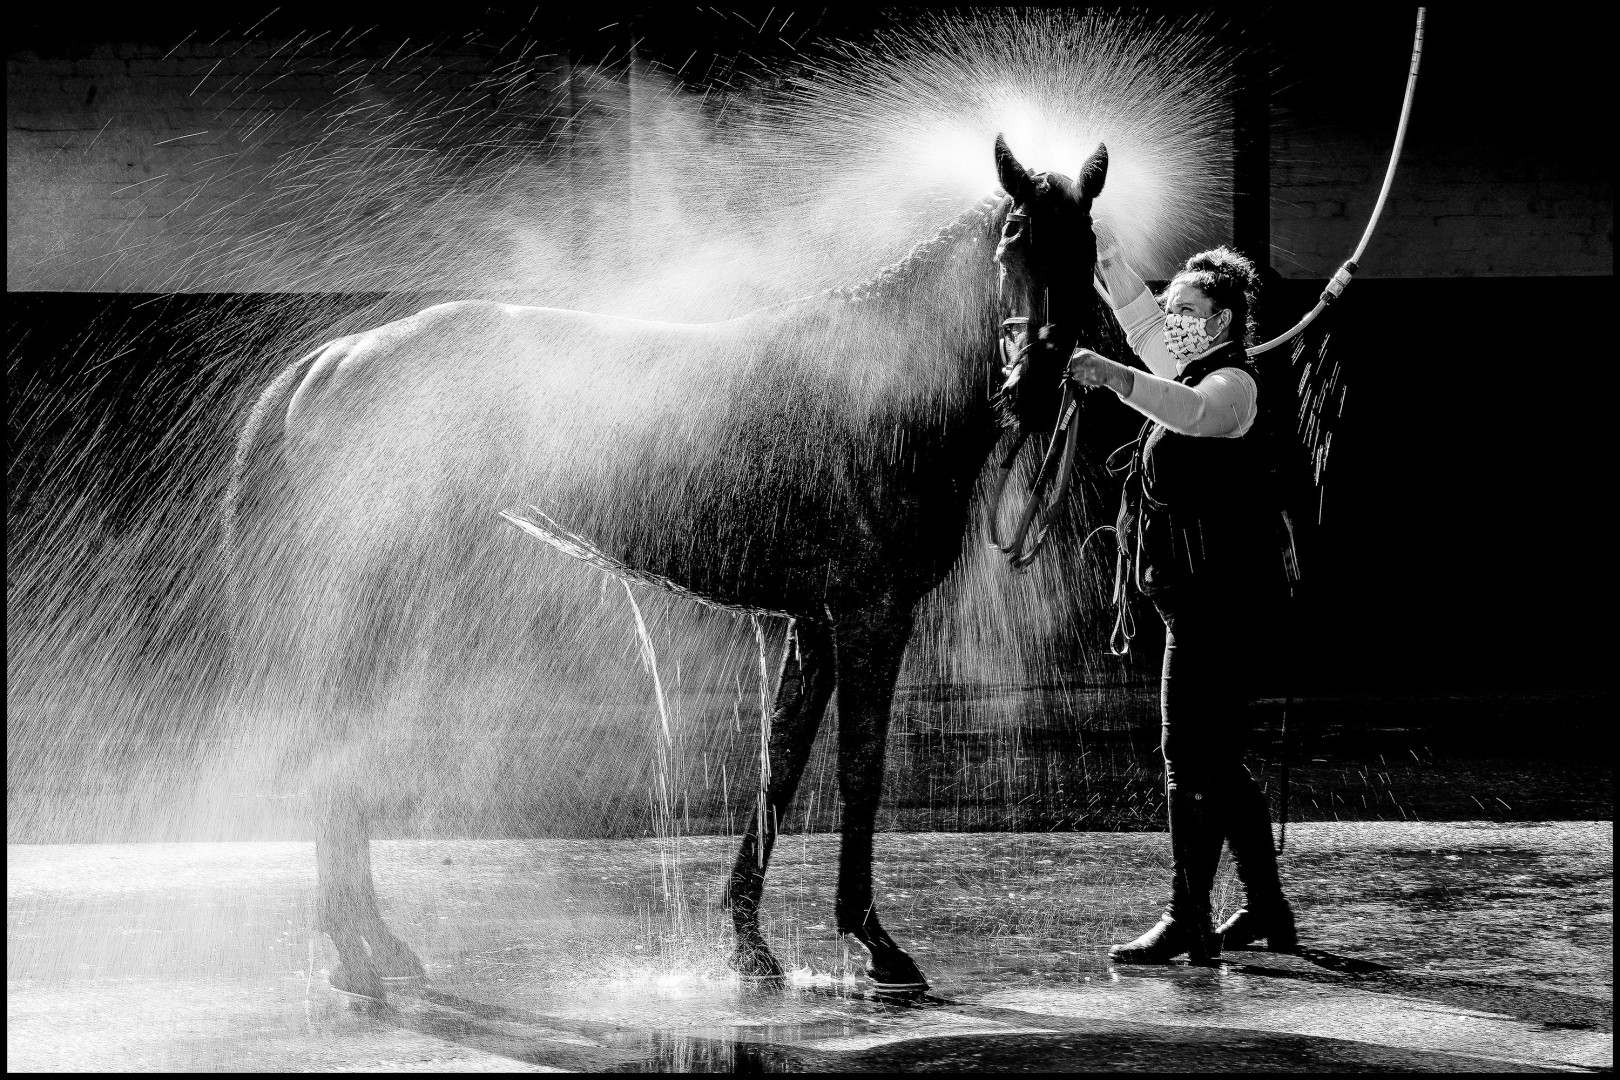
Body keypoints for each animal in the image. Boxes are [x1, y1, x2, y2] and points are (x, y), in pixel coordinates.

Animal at [224, 136, 1112, 1001]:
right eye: (1010, 243)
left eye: (1086, 251)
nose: (1033, 385)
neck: (883, 380)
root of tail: (334, 359)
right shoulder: (871, 615)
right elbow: (859, 770)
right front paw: (876, 947)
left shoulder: (815, 622)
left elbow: (780, 767)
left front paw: (750, 946)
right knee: (335, 743)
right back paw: (360, 951)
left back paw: (369, 946)